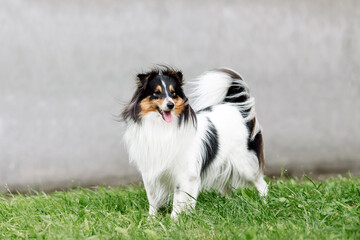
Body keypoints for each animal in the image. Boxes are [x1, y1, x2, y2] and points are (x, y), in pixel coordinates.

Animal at [124, 66, 268, 219]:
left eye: (173, 93)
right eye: (156, 93)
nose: (170, 105)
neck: (161, 127)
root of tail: (238, 108)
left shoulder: (184, 173)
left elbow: (178, 199)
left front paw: (173, 220)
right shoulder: (149, 173)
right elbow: (152, 199)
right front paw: (151, 219)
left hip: (245, 164)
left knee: (262, 184)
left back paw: (264, 204)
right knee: (227, 188)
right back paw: (227, 204)